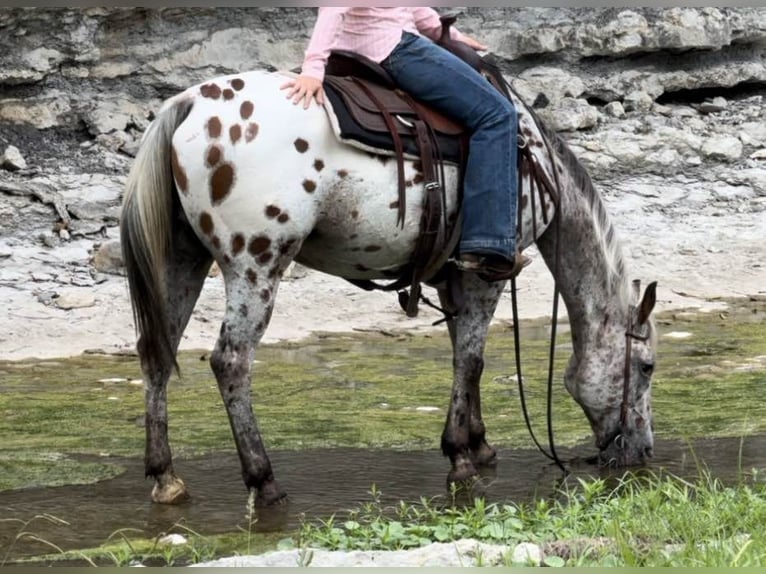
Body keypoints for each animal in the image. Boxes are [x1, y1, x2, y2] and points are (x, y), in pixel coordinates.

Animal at [120, 67, 658, 506]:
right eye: (646, 366)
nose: (644, 451)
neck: (533, 162)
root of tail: (189, 103)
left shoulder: (452, 277)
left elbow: (466, 357)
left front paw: (479, 443)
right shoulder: (485, 273)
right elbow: (471, 359)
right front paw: (460, 459)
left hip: (183, 260)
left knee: (155, 353)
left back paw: (165, 477)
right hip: (256, 264)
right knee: (230, 361)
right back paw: (263, 480)